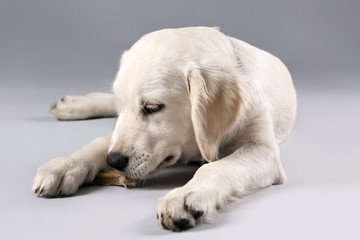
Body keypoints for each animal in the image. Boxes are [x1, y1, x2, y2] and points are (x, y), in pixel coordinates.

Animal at [33, 27, 298, 232]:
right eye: (124, 108)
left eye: (152, 107)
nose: (114, 161)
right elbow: (101, 141)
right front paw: (65, 165)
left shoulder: (263, 151)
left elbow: (215, 167)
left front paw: (184, 196)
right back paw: (73, 105)